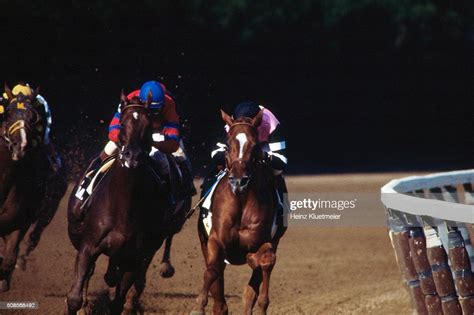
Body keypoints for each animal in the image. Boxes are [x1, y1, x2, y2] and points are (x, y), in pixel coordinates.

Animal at [0, 85, 66, 292]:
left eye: (33, 117)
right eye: (8, 113)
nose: (19, 146)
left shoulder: (22, 220)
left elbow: (9, 257)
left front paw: (5, 278)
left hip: (50, 207)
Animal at [65, 92, 191, 314]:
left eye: (148, 125)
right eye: (122, 123)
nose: (132, 156)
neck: (123, 206)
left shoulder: (134, 258)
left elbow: (119, 300)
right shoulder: (88, 246)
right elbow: (74, 297)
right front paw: (81, 305)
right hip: (77, 231)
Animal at [193, 110, 286, 314]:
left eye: (255, 144)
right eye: (228, 144)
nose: (238, 180)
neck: (242, 201)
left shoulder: (262, 242)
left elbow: (266, 262)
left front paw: (262, 305)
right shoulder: (215, 241)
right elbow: (211, 271)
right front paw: (199, 305)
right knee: (218, 291)